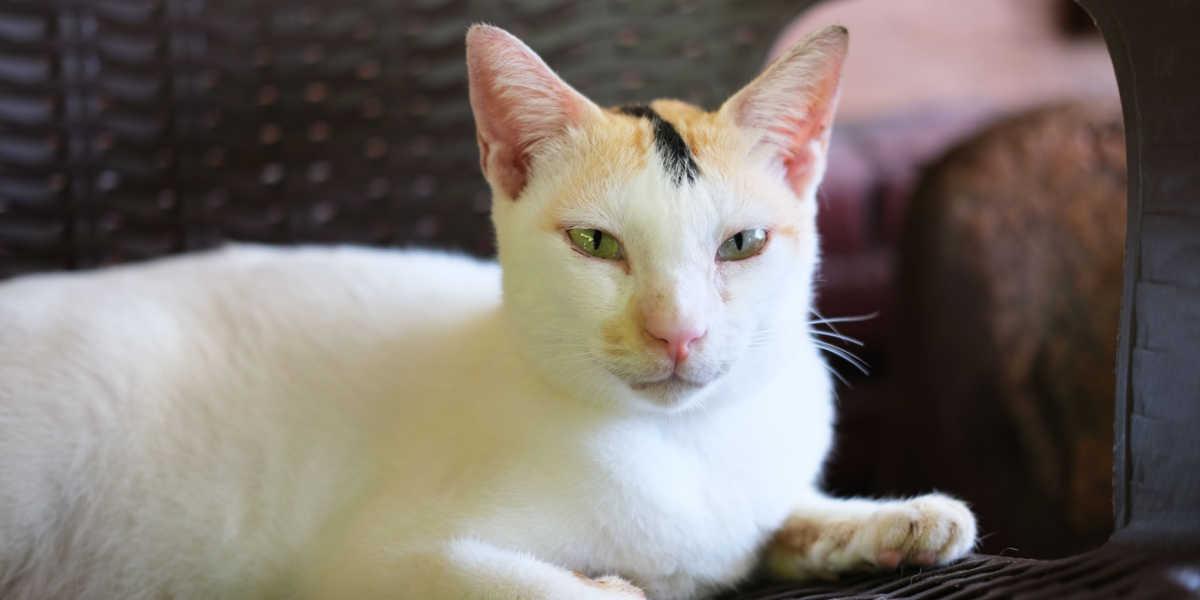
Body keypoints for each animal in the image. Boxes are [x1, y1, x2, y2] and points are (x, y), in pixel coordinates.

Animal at [0, 23, 974, 600]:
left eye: (740, 244)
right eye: (596, 243)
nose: (679, 331)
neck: (682, 446)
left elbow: (775, 522)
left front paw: (893, 520)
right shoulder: (372, 561)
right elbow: (555, 589)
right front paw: (614, 584)